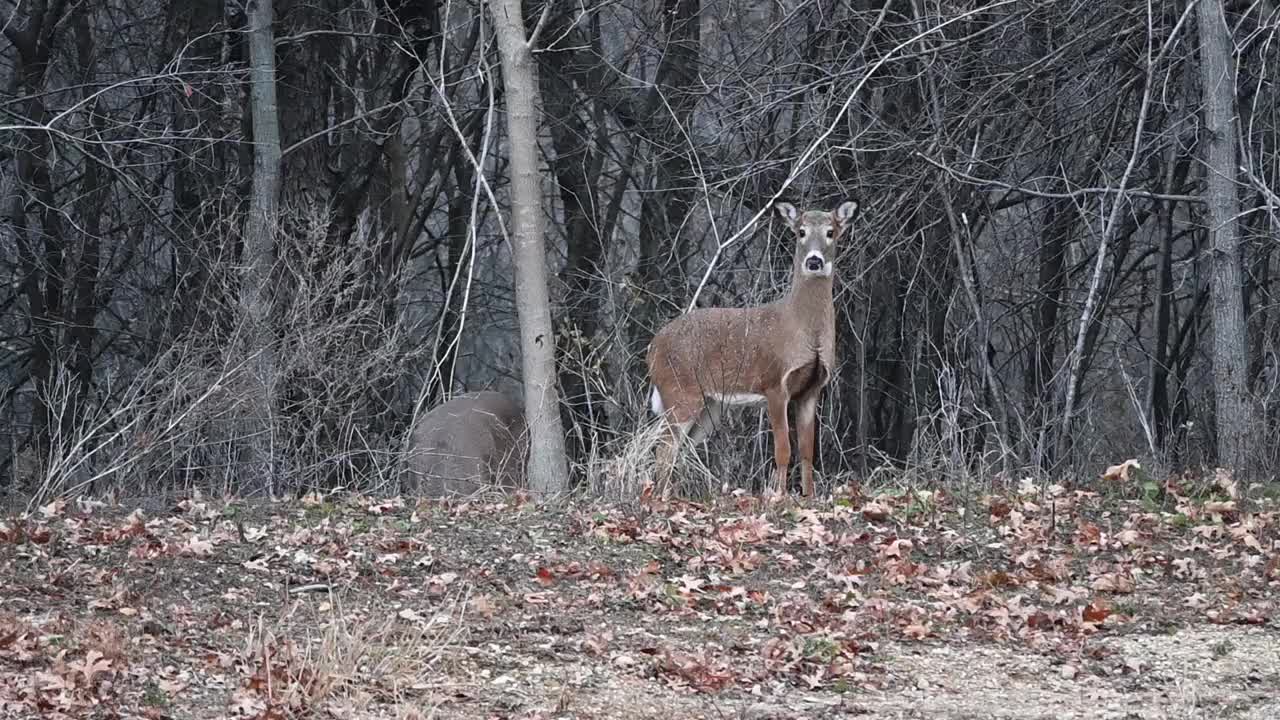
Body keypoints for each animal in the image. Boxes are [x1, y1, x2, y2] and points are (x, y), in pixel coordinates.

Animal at [650, 198, 860, 497]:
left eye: (831, 232)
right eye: (801, 232)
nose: (814, 261)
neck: (802, 330)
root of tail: (652, 348)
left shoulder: (812, 389)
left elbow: (808, 451)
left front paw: (809, 496)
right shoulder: (774, 384)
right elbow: (783, 450)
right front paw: (779, 496)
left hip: (709, 406)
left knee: (682, 447)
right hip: (679, 392)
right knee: (665, 447)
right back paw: (660, 496)